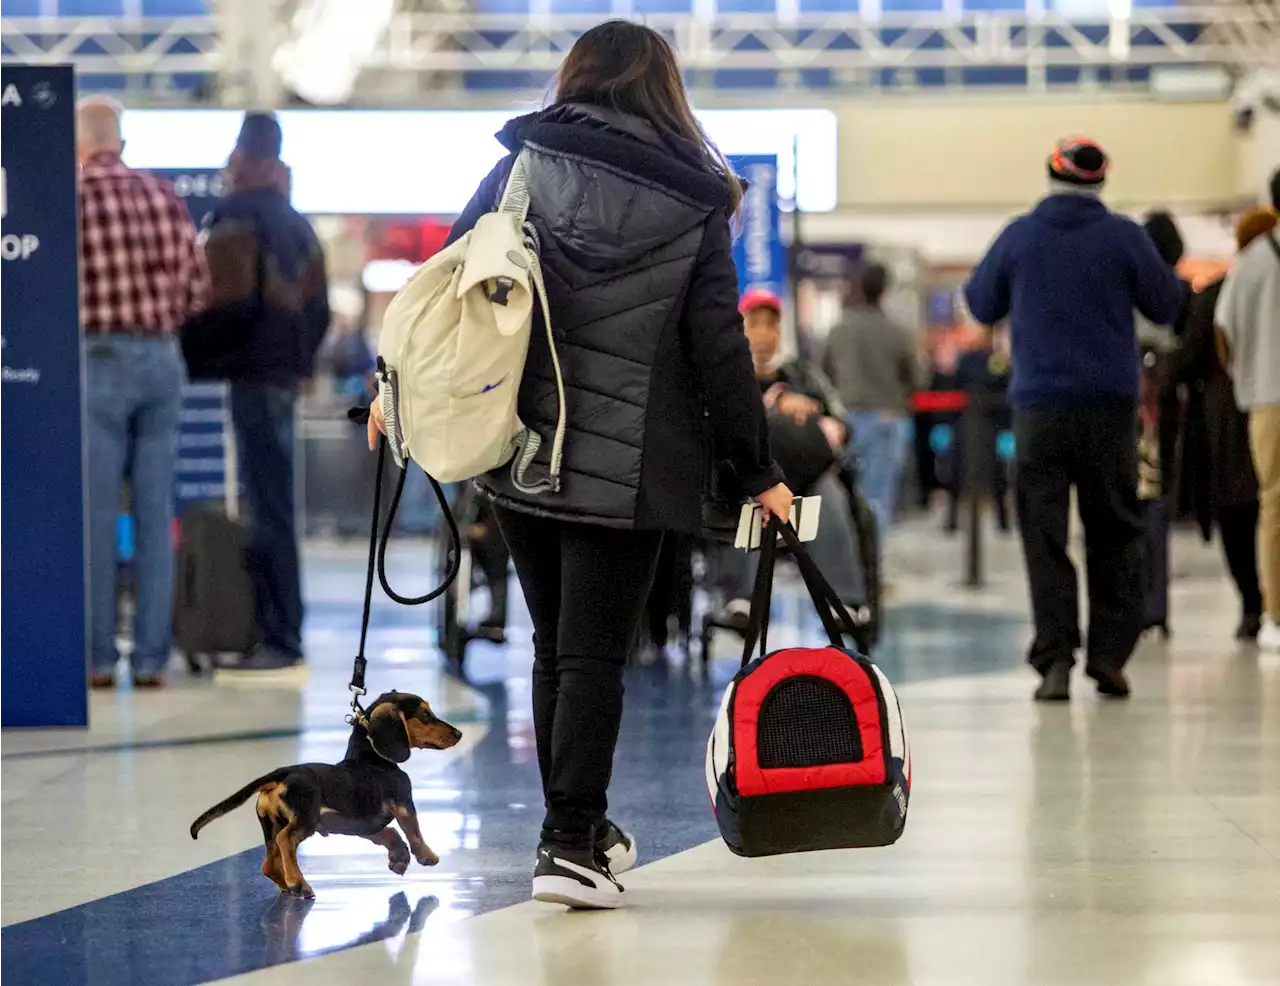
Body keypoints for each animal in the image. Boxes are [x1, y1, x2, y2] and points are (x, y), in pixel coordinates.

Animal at [189, 691, 460, 901]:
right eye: (425, 715)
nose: (458, 734)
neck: (371, 758)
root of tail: (282, 773)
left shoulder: (364, 825)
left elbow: (390, 833)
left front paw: (399, 857)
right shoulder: (404, 804)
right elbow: (414, 832)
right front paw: (427, 856)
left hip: (271, 826)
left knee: (269, 864)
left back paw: (291, 886)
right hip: (304, 820)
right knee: (286, 840)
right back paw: (298, 882)